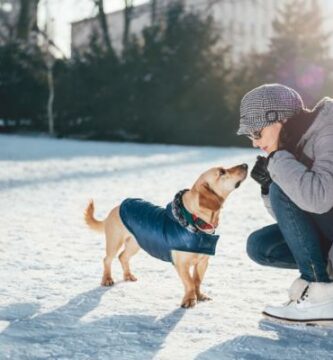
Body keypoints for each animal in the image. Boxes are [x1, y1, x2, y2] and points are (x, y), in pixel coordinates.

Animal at [85, 163, 246, 306]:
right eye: (222, 172)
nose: (245, 165)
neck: (194, 221)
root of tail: (115, 209)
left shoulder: (203, 262)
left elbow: (197, 281)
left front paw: (199, 296)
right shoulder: (181, 264)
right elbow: (190, 282)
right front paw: (189, 300)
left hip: (135, 243)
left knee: (123, 257)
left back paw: (128, 276)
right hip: (115, 241)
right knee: (107, 259)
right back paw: (107, 279)